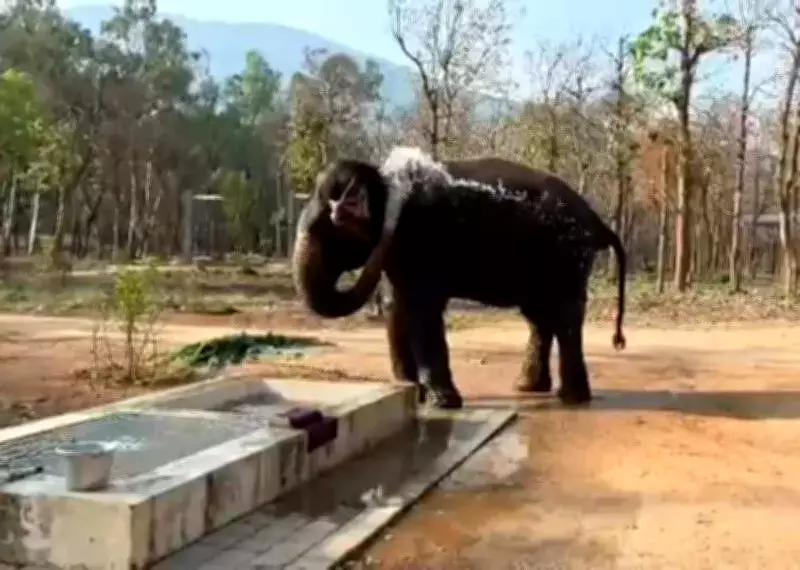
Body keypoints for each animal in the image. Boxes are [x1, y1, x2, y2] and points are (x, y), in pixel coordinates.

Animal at [292, 146, 627, 409]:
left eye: (331, 228)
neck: (386, 184)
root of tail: (597, 221)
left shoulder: (424, 239)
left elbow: (422, 309)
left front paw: (443, 403)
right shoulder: (400, 251)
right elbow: (395, 307)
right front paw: (413, 394)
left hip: (568, 259)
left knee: (565, 316)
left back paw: (570, 399)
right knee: (540, 318)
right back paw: (528, 388)